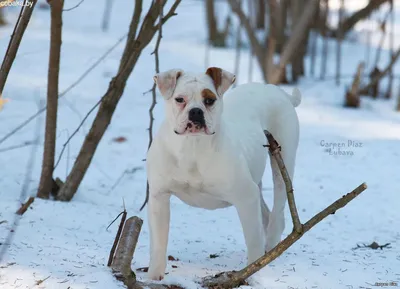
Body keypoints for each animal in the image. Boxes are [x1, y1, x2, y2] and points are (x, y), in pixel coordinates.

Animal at [146, 67, 300, 280]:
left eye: (209, 100)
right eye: (179, 99)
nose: (196, 111)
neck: (192, 147)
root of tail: (279, 92)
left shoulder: (246, 197)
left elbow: (252, 241)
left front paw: (252, 274)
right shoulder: (159, 197)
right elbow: (159, 243)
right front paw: (154, 276)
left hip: (282, 161)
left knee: (277, 211)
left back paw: (270, 249)